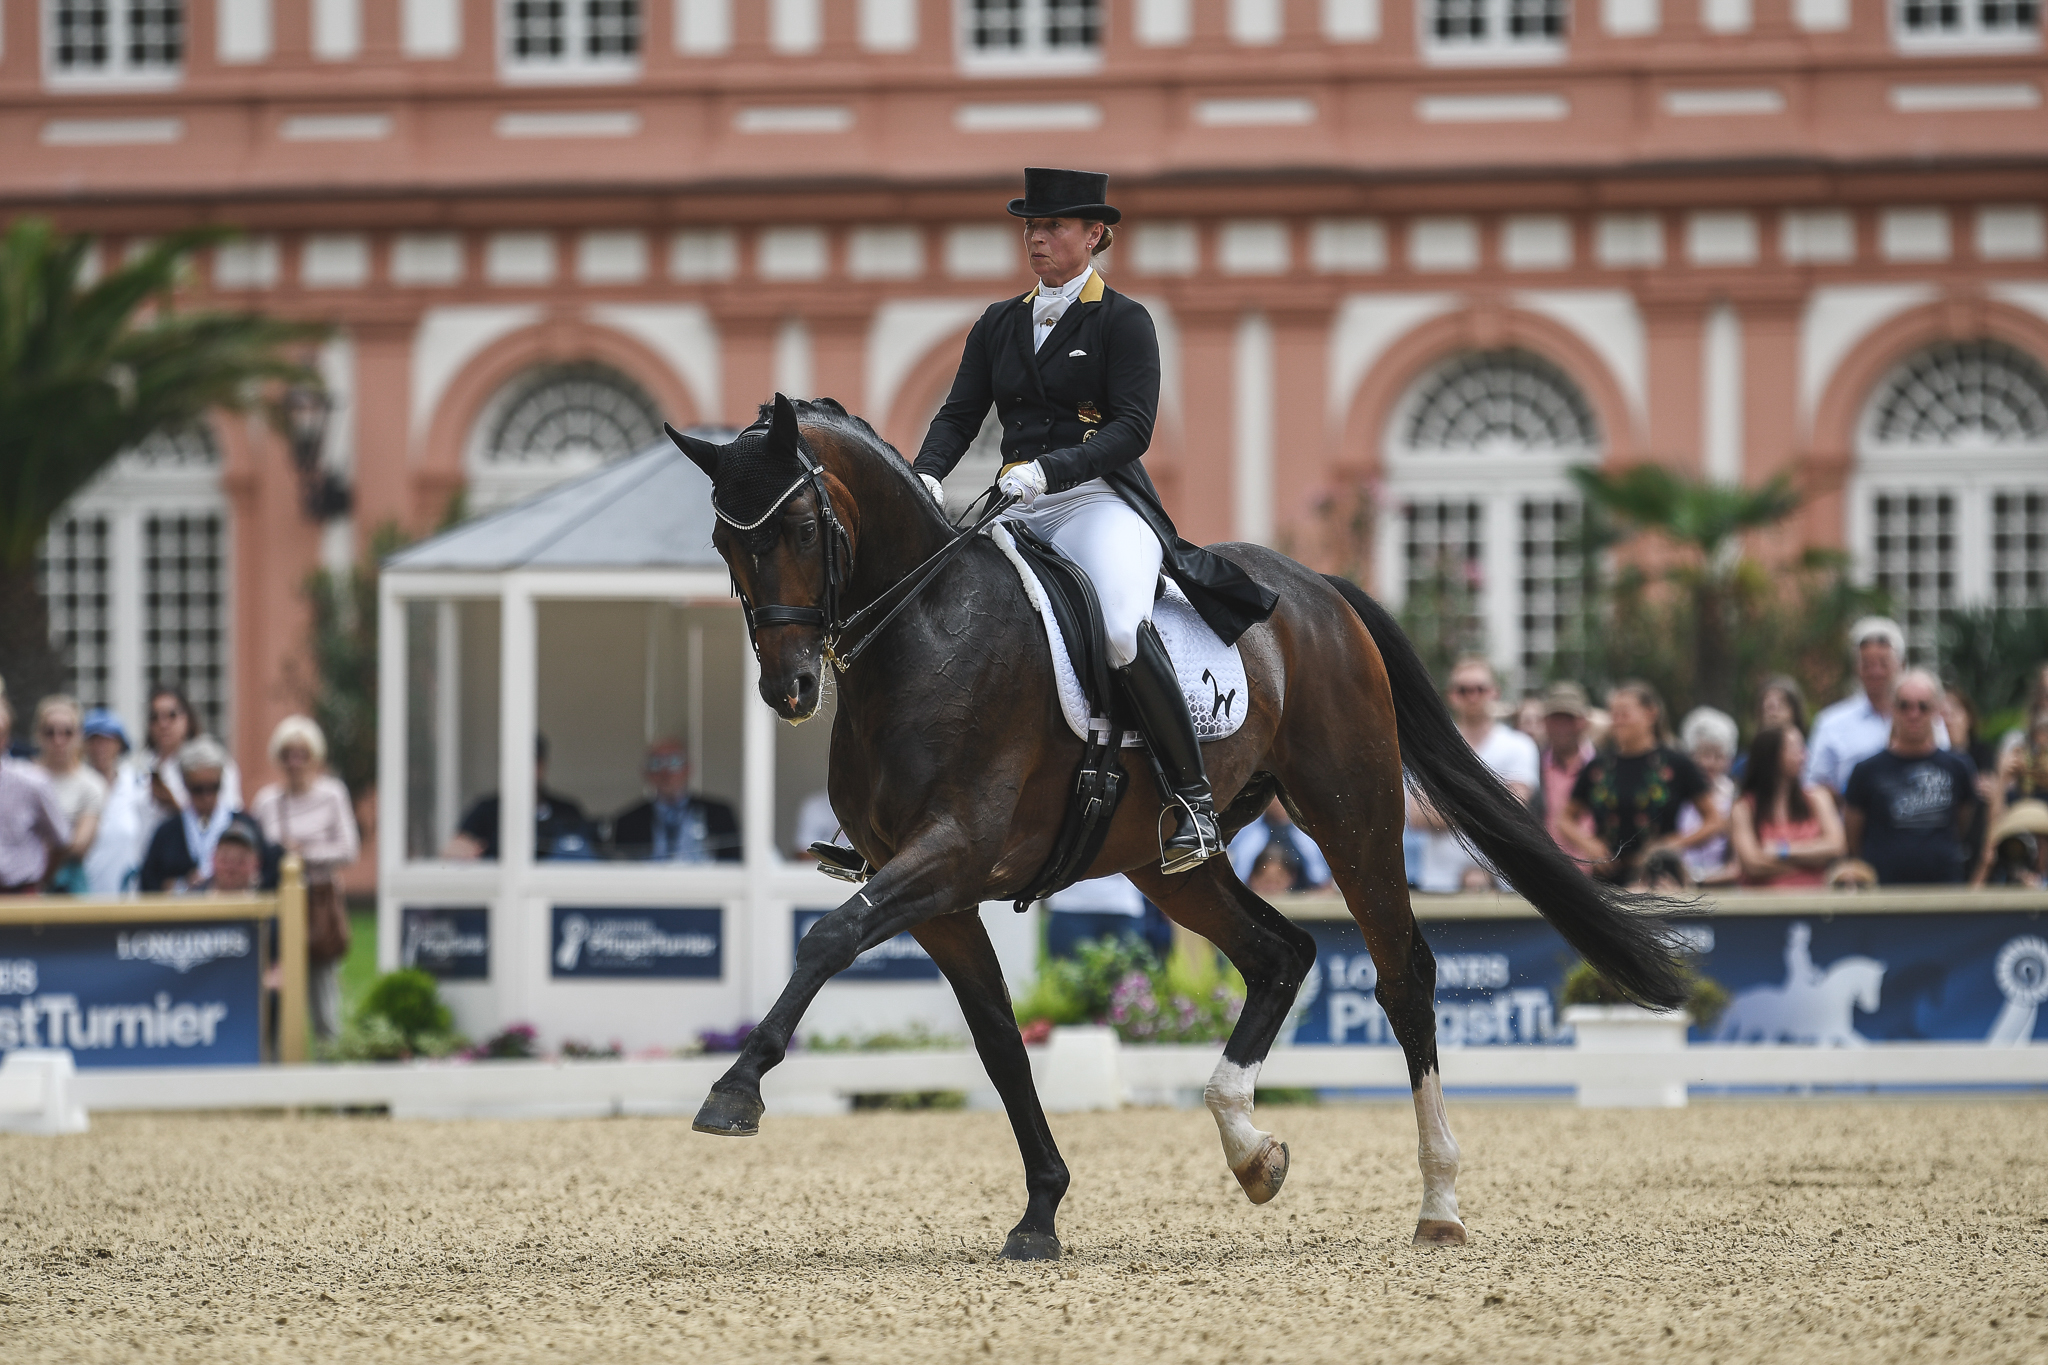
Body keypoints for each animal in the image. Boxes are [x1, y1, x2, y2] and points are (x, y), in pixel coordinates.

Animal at [671, 392, 1679, 1260]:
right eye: (723, 540)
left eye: (804, 529)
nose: (791, 688)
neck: (926, 633)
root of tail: (1319, 588)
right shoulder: (939, 896)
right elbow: (999, 1041)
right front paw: (1041, 1209)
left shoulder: (951, 854)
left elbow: (828, 936)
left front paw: (734, 1090)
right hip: (1167, 863)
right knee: (1280, 954)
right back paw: (1251, 1148)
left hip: (1352, 812)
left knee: (1403, 976)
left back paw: (1438, 1200)